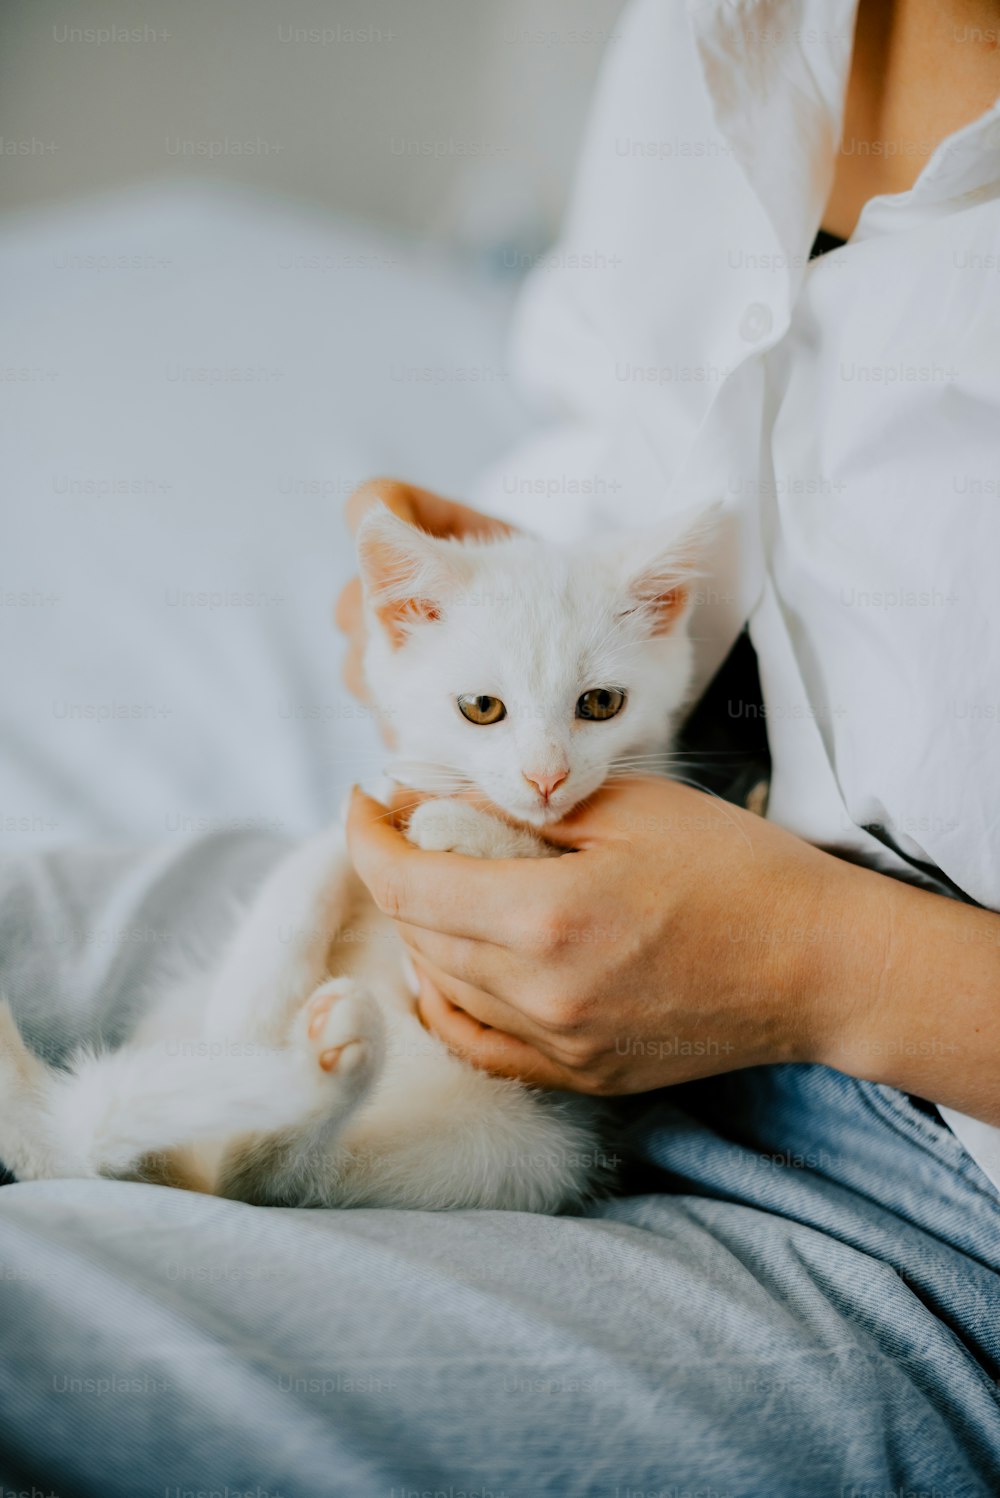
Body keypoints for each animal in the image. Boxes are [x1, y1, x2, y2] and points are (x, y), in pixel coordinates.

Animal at [0, 500, 706, 1204]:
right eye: (482, 708)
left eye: (601, 703)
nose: (546, 778)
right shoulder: (375, 800)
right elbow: (310, 866)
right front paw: (247, 1011)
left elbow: (537, 856)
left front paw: (469, 828)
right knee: (103, 1159)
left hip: (519, 1148)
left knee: (259, 1179)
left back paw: (327, 1066)